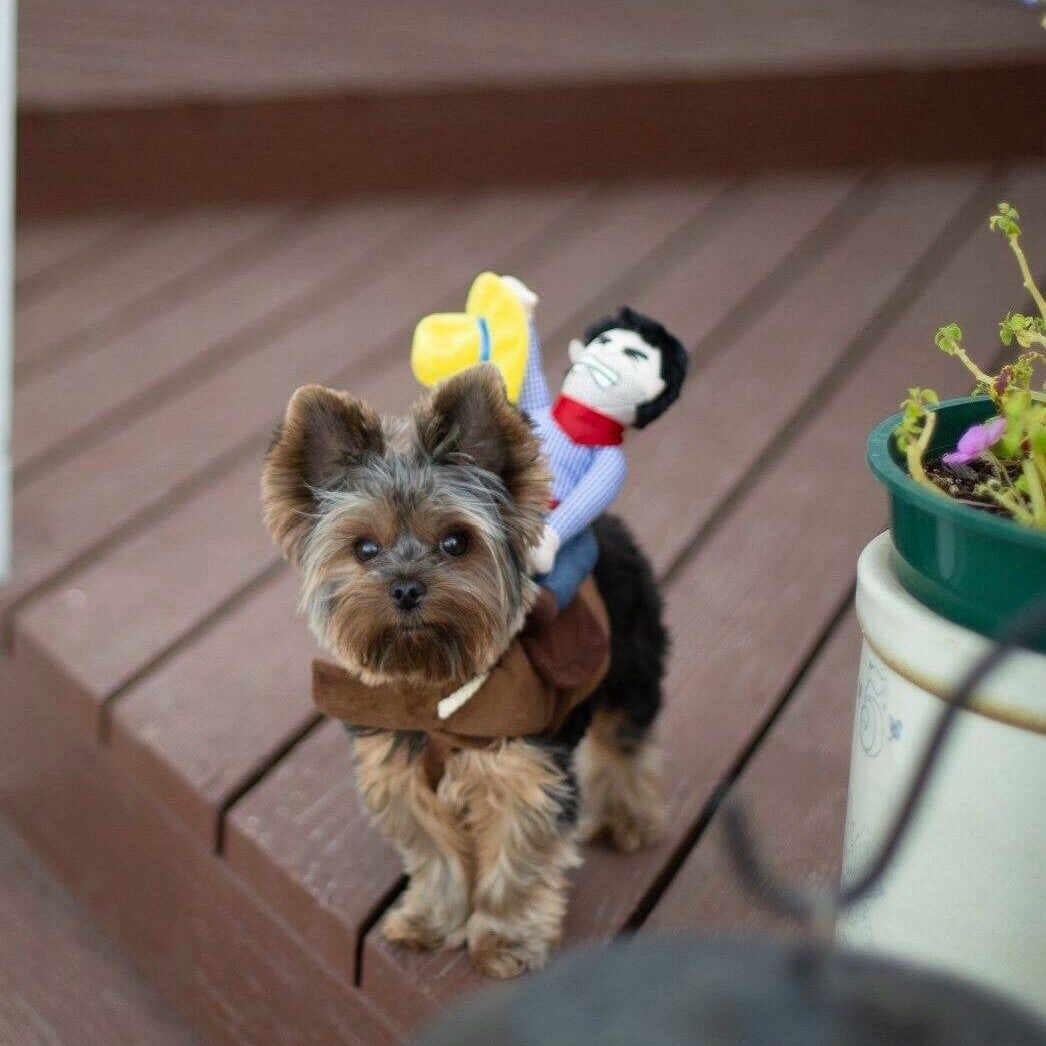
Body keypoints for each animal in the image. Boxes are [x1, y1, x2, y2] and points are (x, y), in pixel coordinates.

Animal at [265, 364, 665, 974]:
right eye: (364, 548)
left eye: (456, 541)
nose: (406, 587)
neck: (430, 692)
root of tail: (608, 527)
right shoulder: (399, 770)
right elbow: (435, 853)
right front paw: (431, 920)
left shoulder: (524, 776)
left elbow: (517, 861)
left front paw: (505, 939)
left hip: (633, 657)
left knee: (624, 741)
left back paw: (628, 818)